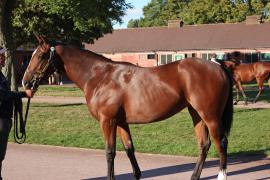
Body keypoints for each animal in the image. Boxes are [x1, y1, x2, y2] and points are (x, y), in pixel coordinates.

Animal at [22, 35, 233, 180]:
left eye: (40, 55)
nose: (25, 82)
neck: (99, 76)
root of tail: (217, 65)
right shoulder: (121, 122)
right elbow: (129, 149)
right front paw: (137, 174)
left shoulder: (108, 121)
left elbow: (110, 152)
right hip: (196, 113)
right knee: (204, 144)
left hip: (210, 116)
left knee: (220, 142)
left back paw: (221, 175)